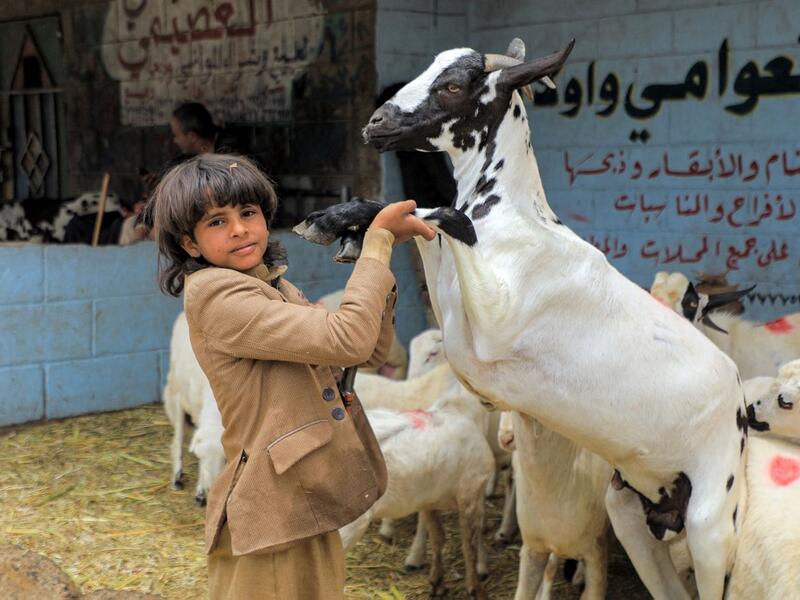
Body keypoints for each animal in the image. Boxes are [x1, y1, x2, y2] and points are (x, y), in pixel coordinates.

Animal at [339, 395, 495, 599]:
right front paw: (476, 590)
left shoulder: (430, 500)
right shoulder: (471, 492)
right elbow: (470, 547)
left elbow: (438, 538)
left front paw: (437, 583)